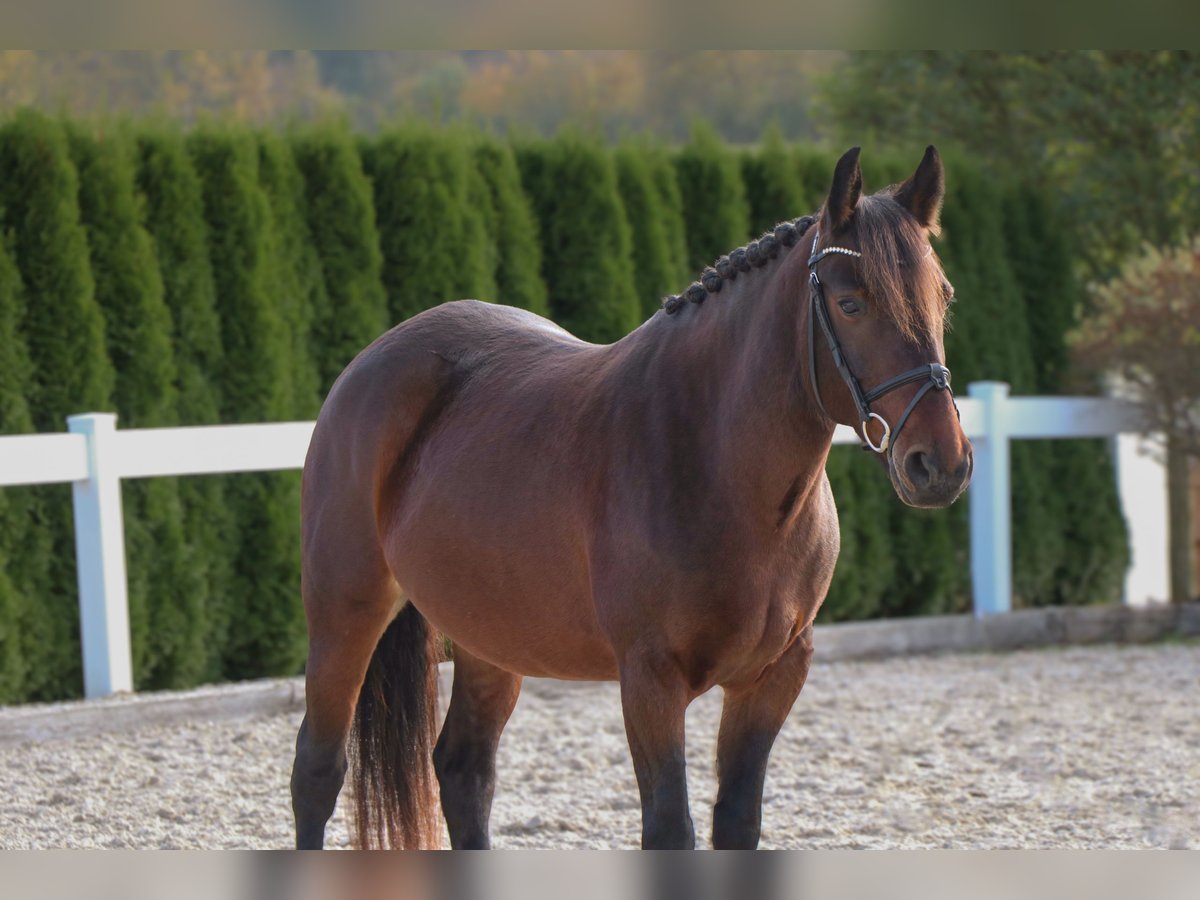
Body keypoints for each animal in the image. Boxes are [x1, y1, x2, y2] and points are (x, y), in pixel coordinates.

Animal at [290, 148, 974, 854]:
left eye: (942, 295)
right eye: (850, 302)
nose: (938, 464)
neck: (715, 465)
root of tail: (372, 362)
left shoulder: (774, 676)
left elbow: (738, 821)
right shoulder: (650, 679)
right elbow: (669, 827)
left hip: (490, 636)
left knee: (463, 770)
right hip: (345, 612)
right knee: (319, 769)